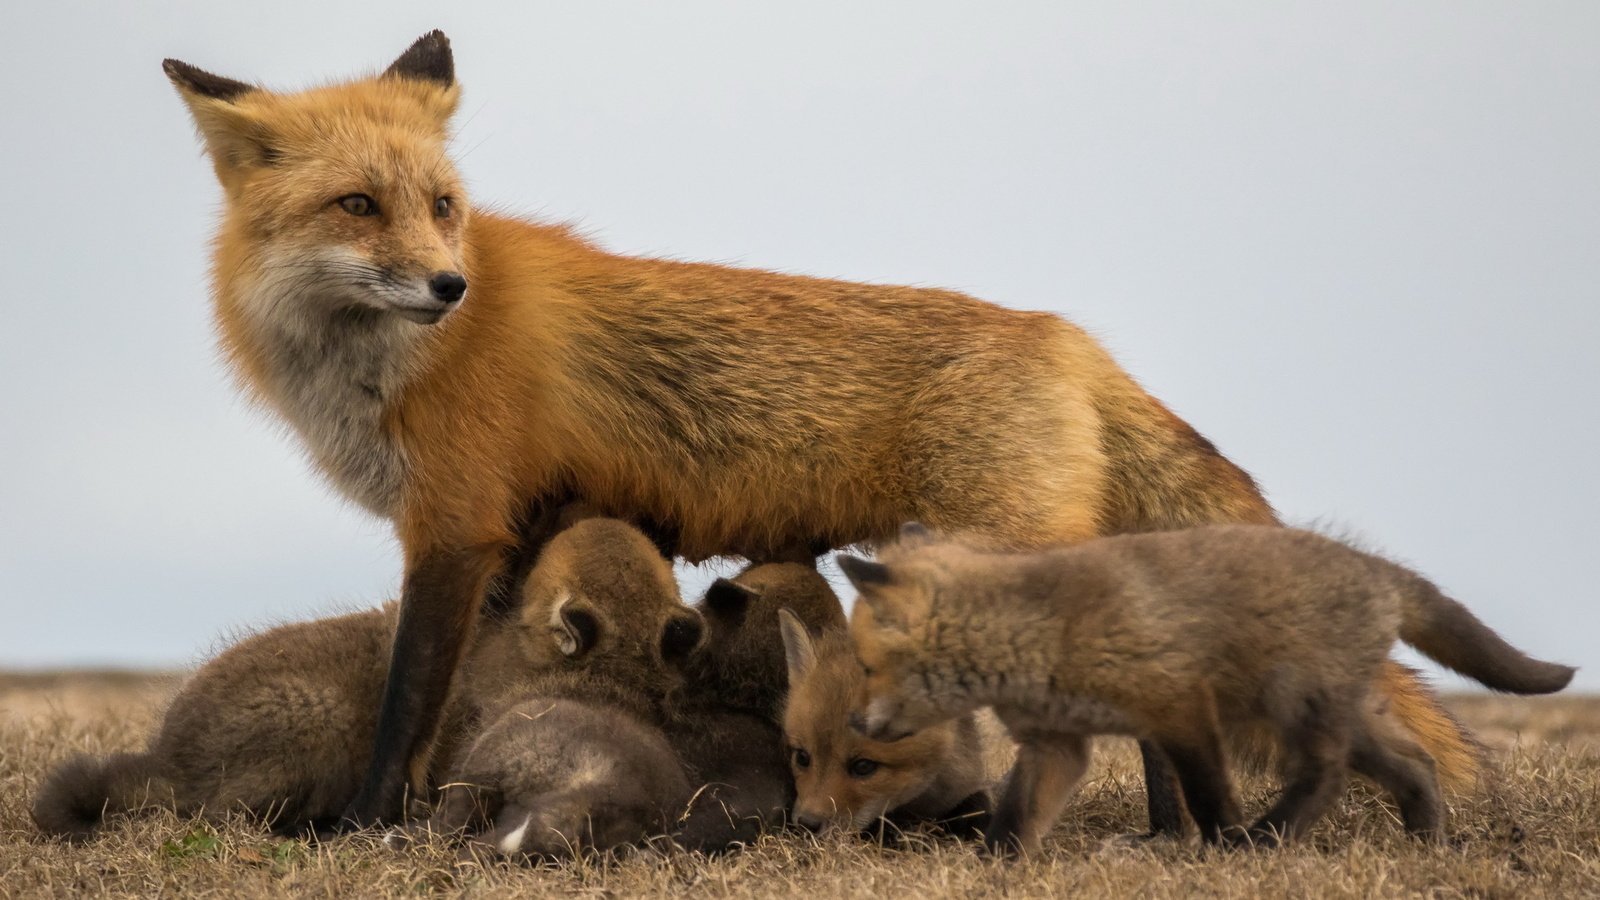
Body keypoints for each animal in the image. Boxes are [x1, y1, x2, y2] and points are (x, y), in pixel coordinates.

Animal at [159, 31, 1472, 826]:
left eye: (441, 206)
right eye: (357, 205)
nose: (449, 284)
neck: (386, 367)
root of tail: (1066, 335)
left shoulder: (455, 520)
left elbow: (408, 701)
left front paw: (371, 825)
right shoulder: (517, 531)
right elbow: (483, 678)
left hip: (999, 555)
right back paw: (1178, 836)